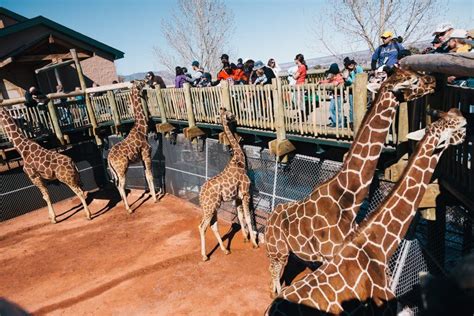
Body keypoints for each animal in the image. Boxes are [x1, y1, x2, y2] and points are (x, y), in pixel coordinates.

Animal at [108, 80, 158, 214]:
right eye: (140, 83)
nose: (147, 82)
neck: (142, 129)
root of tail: (108, 159)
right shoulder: (146, 155)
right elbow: (151, 176)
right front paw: (155, 198)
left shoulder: (142, 158)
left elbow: (147, 175)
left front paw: (153, 195)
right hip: (122, 168)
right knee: (121, 185)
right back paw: (129, 209)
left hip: (116, 171)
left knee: (117, 185)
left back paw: (124, 203)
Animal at [200, 107, 260, 260]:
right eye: (229, 114)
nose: (235, 117)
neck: (239, 160)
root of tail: (200, 196)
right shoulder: (245, 193)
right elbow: (248, 217)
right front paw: (254, 243)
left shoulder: (237, 197)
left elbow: (240, 216)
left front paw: (245, 238)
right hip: (210, 208)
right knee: (202, 227)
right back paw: (205, 256)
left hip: (212, 207)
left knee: (213, 225)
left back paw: (225, 250)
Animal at [264, 67, 436, 296]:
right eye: (413, 80)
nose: (432, 80)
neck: (348, 199)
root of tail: (270, 217)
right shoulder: (332, 256)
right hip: (277, 249)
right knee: (274, 272)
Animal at [266, 107, 466, 314]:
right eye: (452, 126)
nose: (463, 124)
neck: (379, 247)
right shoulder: (383, 306)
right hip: (277, 250)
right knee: (274, 270)